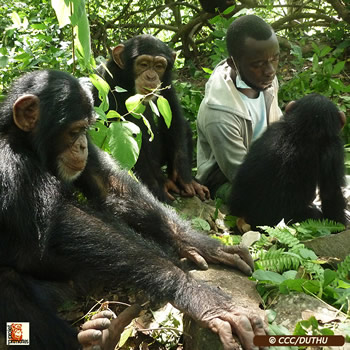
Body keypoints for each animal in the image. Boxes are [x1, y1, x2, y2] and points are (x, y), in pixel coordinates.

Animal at [0, 69, 266, 348]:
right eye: (73, 131)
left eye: (85, 130)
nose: (81, 145)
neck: (27, 145)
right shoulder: (13, 167)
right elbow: (66, 226)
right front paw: (196, 293)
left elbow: (110, 186)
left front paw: (204, 245)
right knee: (8, 285)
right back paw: (97, 340)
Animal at [91, 34, 209, 204]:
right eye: (143, 64)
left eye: (159, 66)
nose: (151, 76)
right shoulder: (107, 83)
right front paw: (157, 192)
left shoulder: (167, 82)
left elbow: (173, 115)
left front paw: (184, 178)